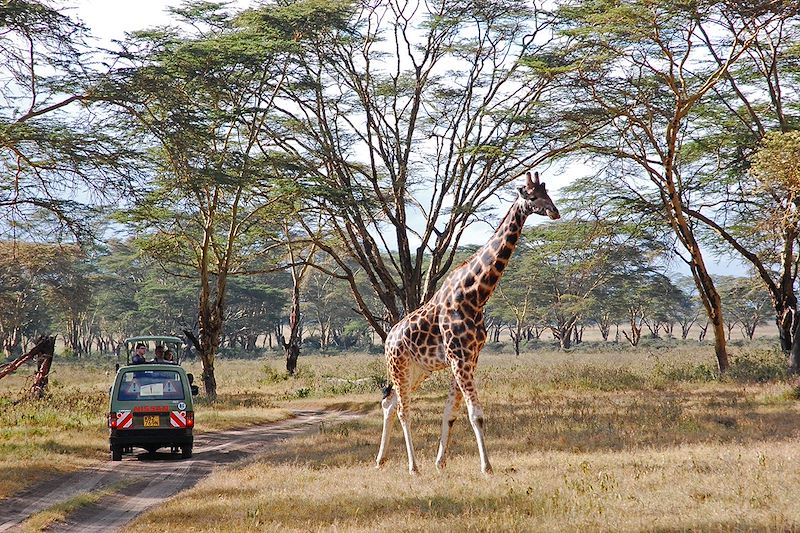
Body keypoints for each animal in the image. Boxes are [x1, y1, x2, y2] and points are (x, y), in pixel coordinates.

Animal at [376, 170, 560, 474]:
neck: (475, 295)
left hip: (418, 370)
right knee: (403, 410)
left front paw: (441, 462)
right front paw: (486, 466)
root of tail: (388, 339)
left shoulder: (470, 357)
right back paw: (413, 466)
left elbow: (451, 413)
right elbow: (476, 414)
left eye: (549, 194)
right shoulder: (459, 357)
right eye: (532, 196)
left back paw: (380, 460)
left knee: (389, 403)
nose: (555, 212)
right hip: (399, 366)